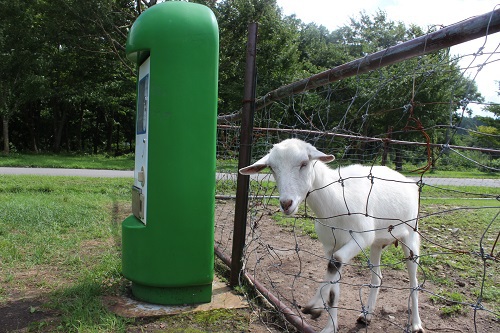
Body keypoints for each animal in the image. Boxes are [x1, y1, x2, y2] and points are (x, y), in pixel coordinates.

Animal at [240, 138, 424, 332]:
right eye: (272, 168)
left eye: (304, 163)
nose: (286, 203)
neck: (336, 201)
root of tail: (408, 181)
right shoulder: (330, 245)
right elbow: (334, 287)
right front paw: (330, 326)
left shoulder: (360, 237)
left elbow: (335, 261)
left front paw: (314, 306)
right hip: (377, 243)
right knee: (378, 277)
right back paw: (366, 315)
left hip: (411, 234)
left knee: (413, 281)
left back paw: (416, 324)